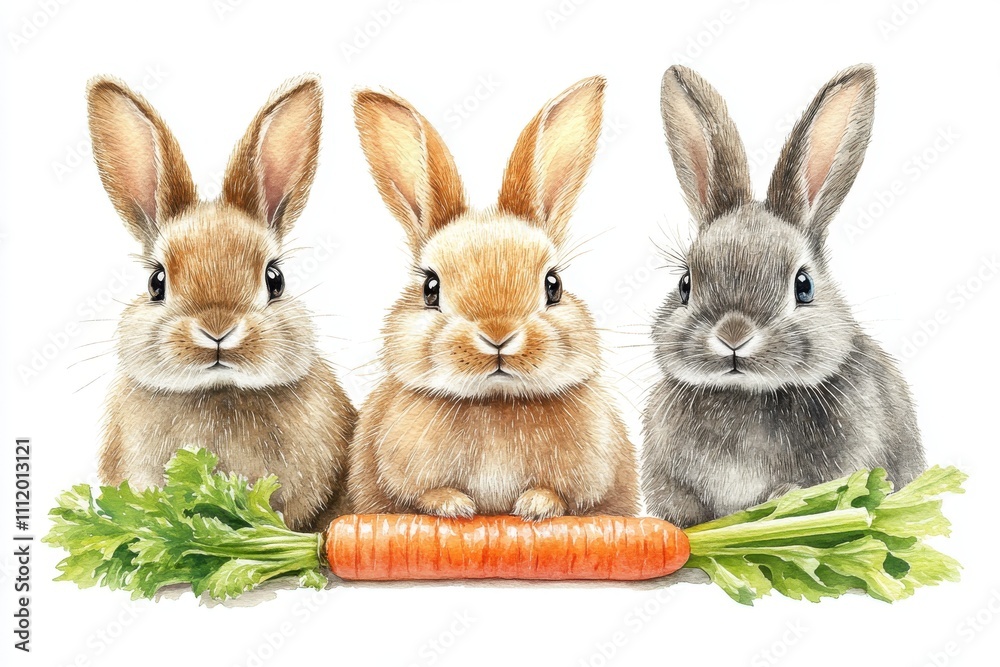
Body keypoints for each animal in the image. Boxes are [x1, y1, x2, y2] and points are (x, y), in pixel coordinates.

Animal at [347, 76, 639, 520]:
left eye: (553, 284)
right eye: (430, 288)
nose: (498, 336)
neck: (495, 404)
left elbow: (568, 498)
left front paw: (536, 506)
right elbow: (419, 495)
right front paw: (454, 506)